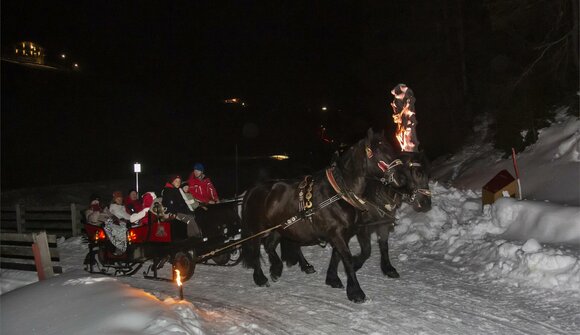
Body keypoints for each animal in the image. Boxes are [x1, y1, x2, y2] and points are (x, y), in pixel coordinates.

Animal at [240, 130, 404, 304]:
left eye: (391, 148)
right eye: (380, 151)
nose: (401, 178)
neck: (339, 193)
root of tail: (252, 189)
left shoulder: (343, 233)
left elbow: (338, 255)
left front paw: (332, 278)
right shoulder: (339, 233)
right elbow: (347, 258)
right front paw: (356, 292)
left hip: (282, 227)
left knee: (270, 245)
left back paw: (278, 268)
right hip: (256, 230)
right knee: (256, 251)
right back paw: (260, 278)